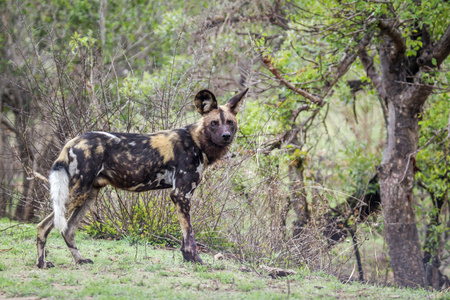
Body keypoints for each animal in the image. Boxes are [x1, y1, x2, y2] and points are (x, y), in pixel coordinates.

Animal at [36, 88, 248, 268]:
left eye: (230, 122)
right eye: (214, 123)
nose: (226, 136)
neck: (197, 141)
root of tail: (72, 141)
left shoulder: (182, 197)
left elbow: (185, 234)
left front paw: (188, 259)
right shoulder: (181, 195)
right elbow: (189, 235)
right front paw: (195, 260)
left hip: (88, 196)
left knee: (67, 230)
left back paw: (79, 260)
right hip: (76, 193)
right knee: (43, 226)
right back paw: (41, 263)